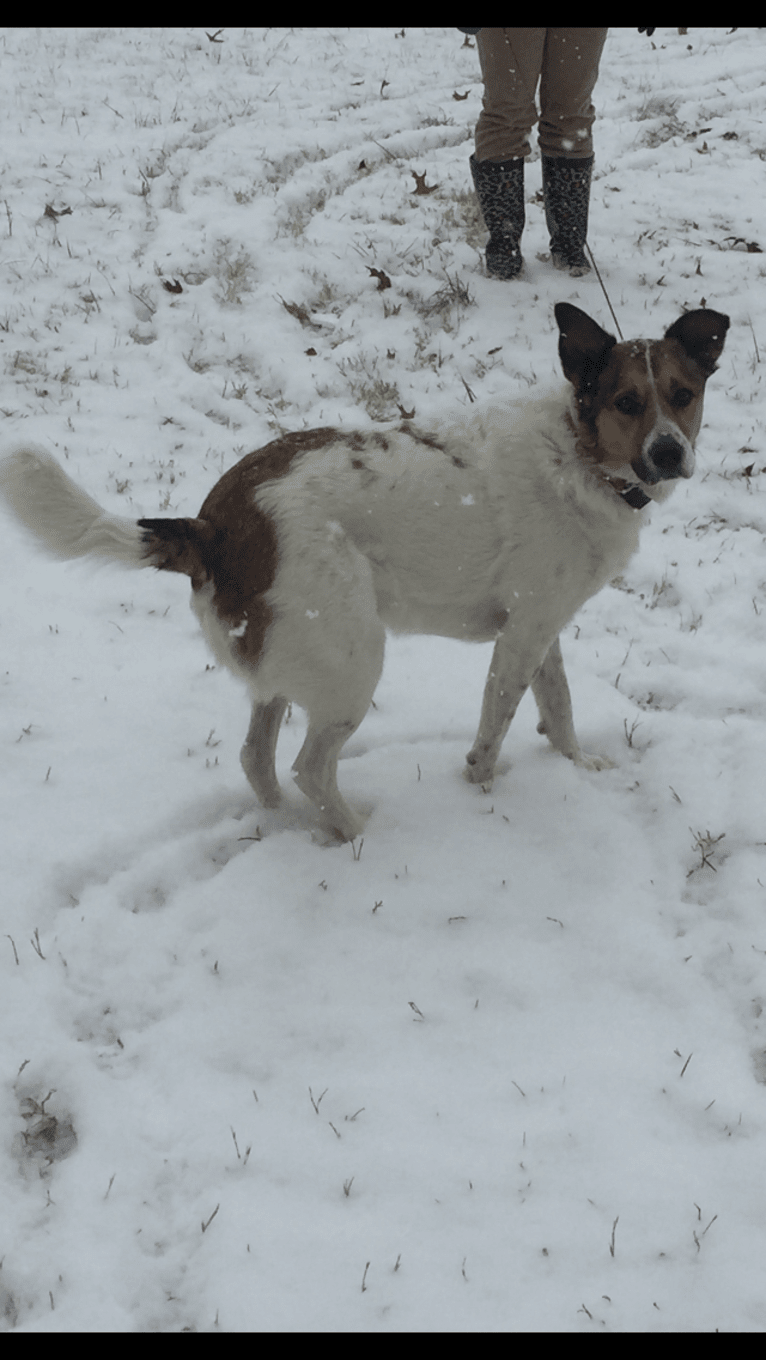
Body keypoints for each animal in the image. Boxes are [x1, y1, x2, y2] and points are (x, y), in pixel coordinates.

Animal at [0, 304, 729, 837]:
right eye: (627, 403)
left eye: (683, 395)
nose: (670, 453)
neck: (579, 453)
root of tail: (217, 524)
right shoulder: (522, 634)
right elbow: (495, 726)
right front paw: (481, 787)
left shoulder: (539, 624)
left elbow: (560, 705)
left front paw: (576, 764)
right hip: (351, 659)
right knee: (310, 767)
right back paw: (355, 836)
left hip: (290, 661)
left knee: (257, 759)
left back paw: (290, 823)